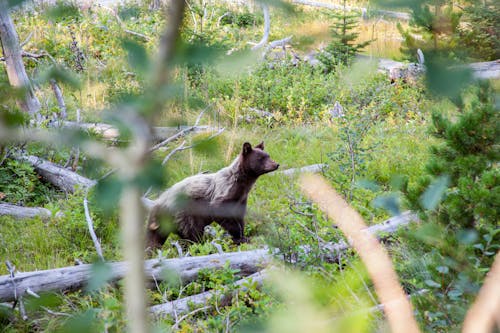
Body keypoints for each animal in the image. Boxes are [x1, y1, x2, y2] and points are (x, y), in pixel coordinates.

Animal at [146, 141, 280, 249]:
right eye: (261, 158)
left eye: (268, 155)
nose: (276, 164)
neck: (241, 184)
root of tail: (158, 204)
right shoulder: (224, 193)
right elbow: (220, 211)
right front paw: (238, 236)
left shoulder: (241, 199)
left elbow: (240, 216)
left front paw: (243, 235)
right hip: (184, 213)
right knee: (192, 232)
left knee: (155, 239)